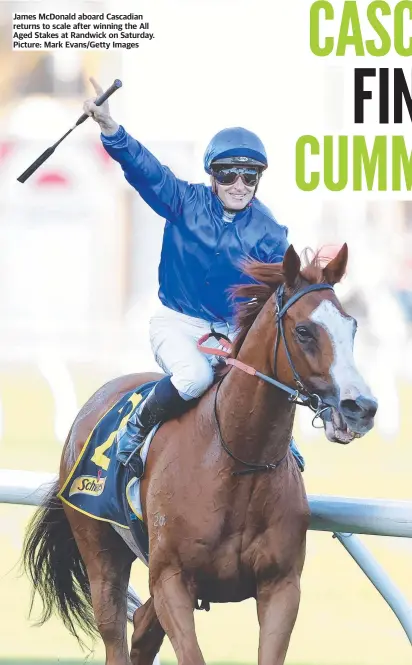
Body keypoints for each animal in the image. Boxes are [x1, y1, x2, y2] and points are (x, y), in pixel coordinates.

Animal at [22, 245, 376, 664]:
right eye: (304, 330)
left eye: (352, 327)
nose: (362, 407)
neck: (237, 462)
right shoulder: (171, 581)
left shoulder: (281, 585)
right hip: (98, 545)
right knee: (115, 631)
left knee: (142, 628)